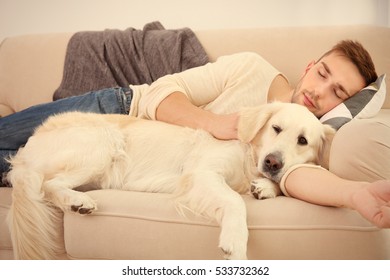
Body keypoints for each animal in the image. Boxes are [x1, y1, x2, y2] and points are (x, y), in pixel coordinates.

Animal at [6, 101, 336, 260]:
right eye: (276, 128)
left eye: (303, 140)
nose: (272, 162)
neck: (248, 155)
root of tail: (25, 151)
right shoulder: (202, 174)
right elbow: (234, 201)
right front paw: (235, 241)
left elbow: (272, 185)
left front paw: (265, 186)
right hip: (103, 141)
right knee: (48, 184)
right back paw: (78, 201)